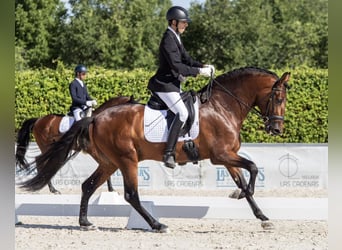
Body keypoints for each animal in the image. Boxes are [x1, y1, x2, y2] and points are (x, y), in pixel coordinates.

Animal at [20, 67, 290, 231]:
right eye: (278, 98)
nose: (276, 129)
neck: (223, 107)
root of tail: (96, 118)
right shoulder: (221, 156)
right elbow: (252, 168)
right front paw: (243, 196)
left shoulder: (227, 157)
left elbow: (243, 178)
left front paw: (263, 217)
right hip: (127, 159)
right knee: (131, 194)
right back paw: (157, 225)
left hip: (109, 162)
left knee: (88, 185)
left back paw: (85, 222)